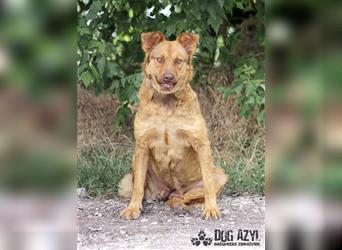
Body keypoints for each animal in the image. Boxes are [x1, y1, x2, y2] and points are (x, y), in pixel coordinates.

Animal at [119, 32, 228, 220]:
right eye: (159, 59)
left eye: (179, 61)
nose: (168, 77)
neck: (166, 103)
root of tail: (170, 190)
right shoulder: (142, 146)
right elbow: (138, 186)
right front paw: (132, 208)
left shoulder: (201, 144)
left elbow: (208, 185)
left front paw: (211, 208)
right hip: (132, 168)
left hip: (219, 174)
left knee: (186, 196)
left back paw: (182, 204)